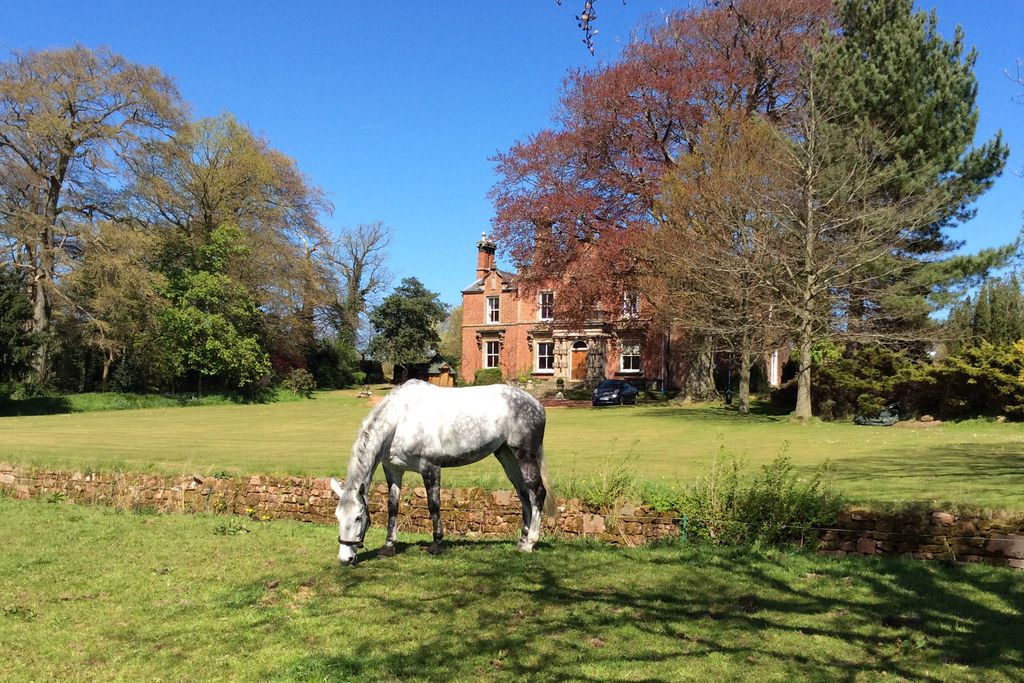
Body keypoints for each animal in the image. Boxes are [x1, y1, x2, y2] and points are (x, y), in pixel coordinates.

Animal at [331, 378, 557, 565]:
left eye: (359, 517)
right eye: (337, 516)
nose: (345, 558)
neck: (401, 419)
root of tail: (537, 405)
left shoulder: (430, 466)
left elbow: (434, 505)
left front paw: (437, 544)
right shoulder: (393, 469)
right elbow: (392, 506)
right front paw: (388, 546)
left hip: (525, 457)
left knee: (537, 493)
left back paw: (530, 543)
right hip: (507, 456)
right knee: (523, 494)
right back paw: (522, 540)